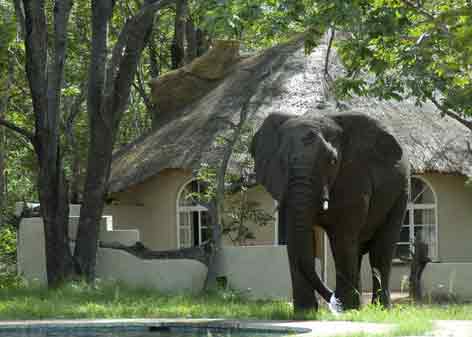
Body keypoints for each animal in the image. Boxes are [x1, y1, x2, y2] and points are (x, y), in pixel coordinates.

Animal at [251, 111, 410, 312]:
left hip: (402, 190)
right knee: (358, 250)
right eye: (281, 161)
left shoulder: (353, 176)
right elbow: (296, 241)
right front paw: (304, 312)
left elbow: (342, 238)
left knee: (381, 250)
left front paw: (346, 309)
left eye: (333, 161)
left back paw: (380, 309)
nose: (334, 301)